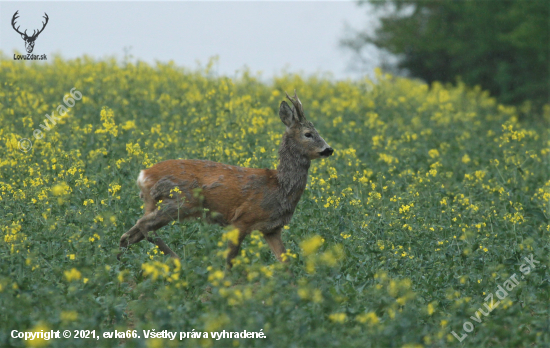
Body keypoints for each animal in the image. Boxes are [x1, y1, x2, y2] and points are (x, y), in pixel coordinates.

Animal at [118, 90, 334, 266]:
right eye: (308, 134)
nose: (329, 149)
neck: (279, 186)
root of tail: (143, 175)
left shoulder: (272, 228)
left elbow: (286, 262)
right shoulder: (242, 219)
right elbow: (230, 259)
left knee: (129, 234)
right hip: (180, 200)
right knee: (143, 226)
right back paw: (177, 260)